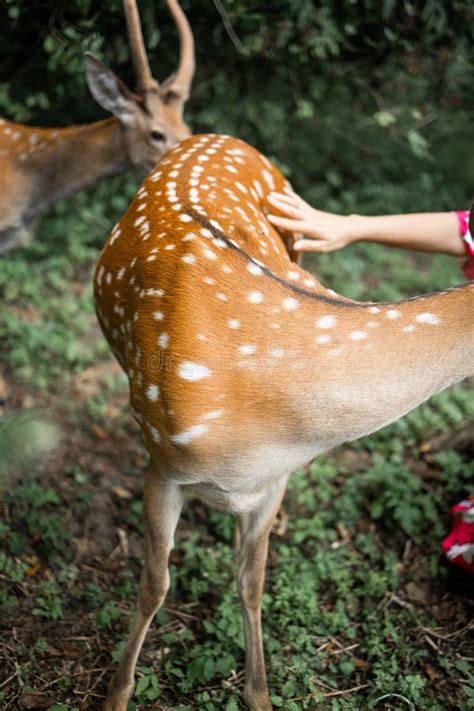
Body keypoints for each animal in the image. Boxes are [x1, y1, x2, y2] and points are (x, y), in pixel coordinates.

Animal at [93, 135, 474, 711]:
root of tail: (214, 136)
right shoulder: (163, 465)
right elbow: (154, 584)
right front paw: (116, 694)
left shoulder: (274, 481)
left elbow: (251, 581)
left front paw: (260, 695)